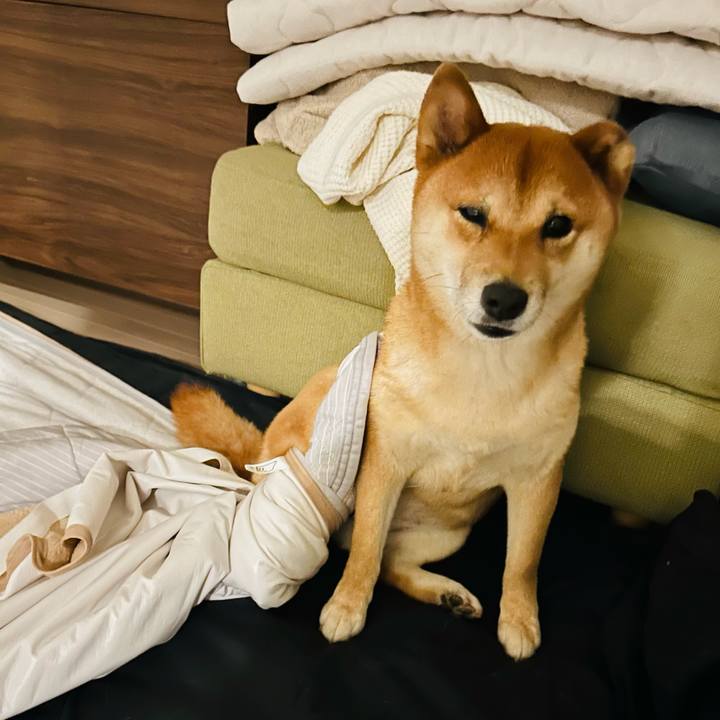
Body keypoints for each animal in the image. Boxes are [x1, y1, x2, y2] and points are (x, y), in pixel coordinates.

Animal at [172, 63, 634, 659]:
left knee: (393, 564)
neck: (483, 370)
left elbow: (522, 563)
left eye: (557, 225)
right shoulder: (384, 465)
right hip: (326, 407)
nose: (503, 299)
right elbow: (367, 552)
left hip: (446, 533)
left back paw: (447, 594)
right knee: (362, 547)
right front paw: (346, 607)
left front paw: (519, 620)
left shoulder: (537, 482)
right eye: (473, 214)